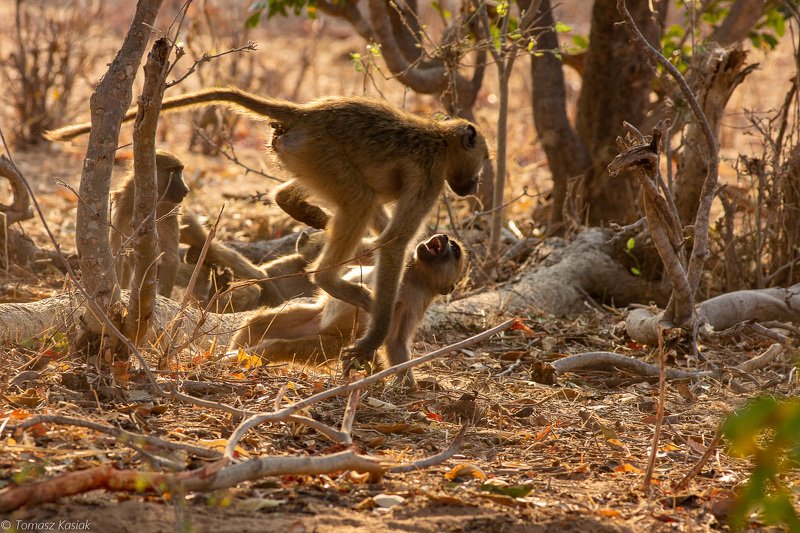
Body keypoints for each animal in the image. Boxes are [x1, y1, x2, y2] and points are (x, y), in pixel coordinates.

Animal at [110, 149, 189, 298]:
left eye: (180, 170)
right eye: (172, 170)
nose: (186, 189)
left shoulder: (168, 210)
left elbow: (170, 258)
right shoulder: (123, 203)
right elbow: (117, 252)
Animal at [228, 234, 466, 387]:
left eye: (454, 251)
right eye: (451, 245)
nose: (445, 237)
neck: (413, 274)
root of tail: (322, 326)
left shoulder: (415, 301)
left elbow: (396, 341)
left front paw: (405, 383)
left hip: (335, 342)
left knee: (281, 346)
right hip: (312, 320)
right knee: (257, 324)